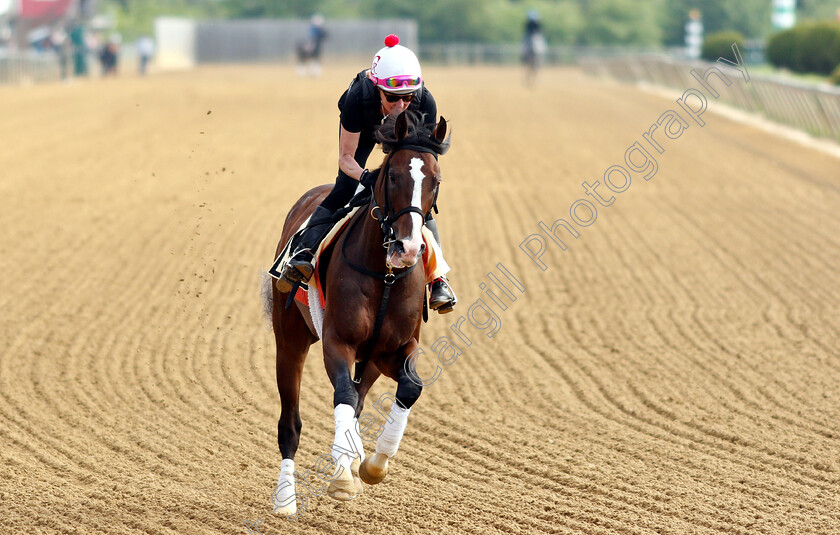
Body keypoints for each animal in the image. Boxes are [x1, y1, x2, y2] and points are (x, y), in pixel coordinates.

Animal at [272, 111, 450, 516]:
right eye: (393, 175)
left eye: (435, 180)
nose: (407, 248)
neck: (384, 275)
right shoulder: (338, 341)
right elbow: (344, 397)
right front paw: (341, 478)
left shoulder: (394, 348)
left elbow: (409, 388)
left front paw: (372, 465)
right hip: (289, 341)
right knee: (291, 422)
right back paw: (285, 499)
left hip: (370, 360)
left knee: (361, 397)